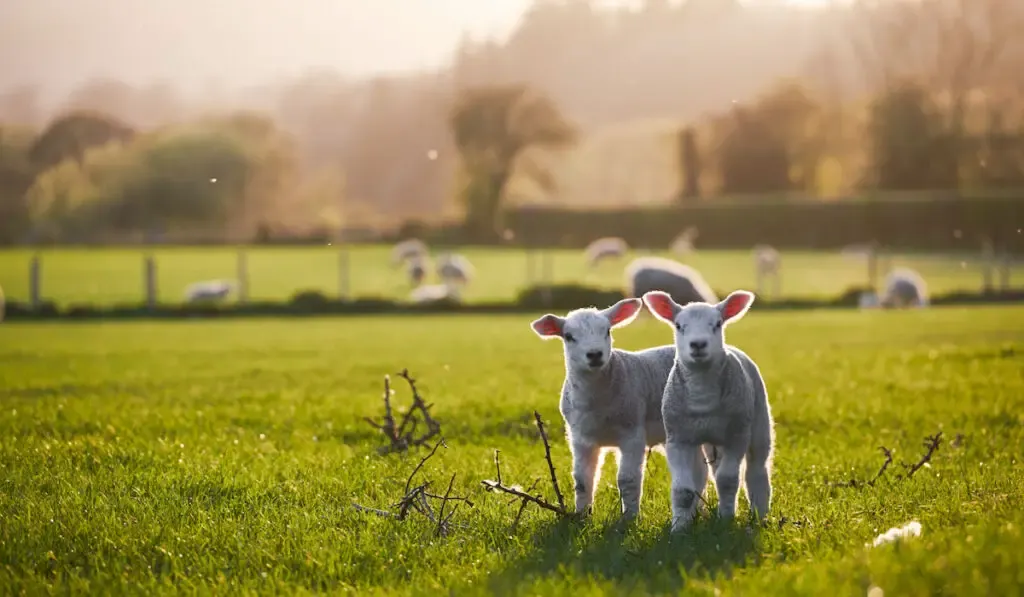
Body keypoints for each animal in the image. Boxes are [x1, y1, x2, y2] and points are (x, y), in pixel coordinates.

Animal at [532, 301, 716, 520]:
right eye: (568, 336)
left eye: (607, 331)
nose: (594, 354)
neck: (598, 404)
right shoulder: (580, 438)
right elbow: (582, 480)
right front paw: (581, 516)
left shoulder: (632, 432)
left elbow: (627, 480)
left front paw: (629, 519)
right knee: (700, 471)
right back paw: (698, 511)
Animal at [643, 288, 778, 532]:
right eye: (679, 325)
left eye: (717, 324)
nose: (698, 344)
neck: (702, 398)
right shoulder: (678, 439)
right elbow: (683, 490)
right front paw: (679, 529)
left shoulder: (737, 436)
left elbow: (728, 481)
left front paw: (725, 521)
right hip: (708, 441)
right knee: (708, 472)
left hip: (758, 423)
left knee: (757, 470)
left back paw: (760, 515)